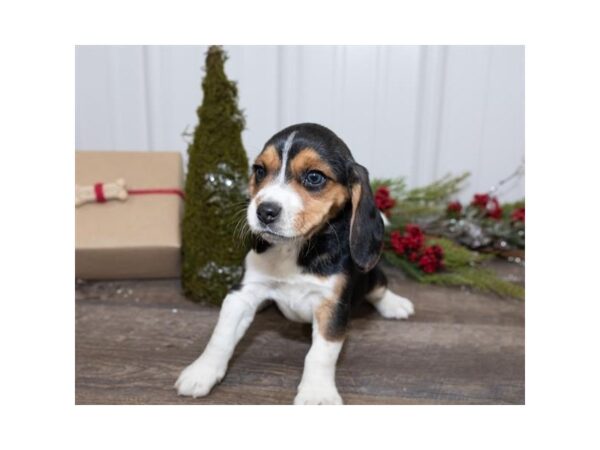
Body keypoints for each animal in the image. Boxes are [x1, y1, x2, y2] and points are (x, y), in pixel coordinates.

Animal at [176, 122, 414, 404]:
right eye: (259, 171)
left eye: (314, 177)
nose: (265, 211)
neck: (294, 248)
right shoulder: (243, 293)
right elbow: (221, 336)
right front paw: (202, 372)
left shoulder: (331, 306)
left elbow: (320, 354)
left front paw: (317, 394)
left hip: (372, 276)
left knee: (380, 289)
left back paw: (395, 305)